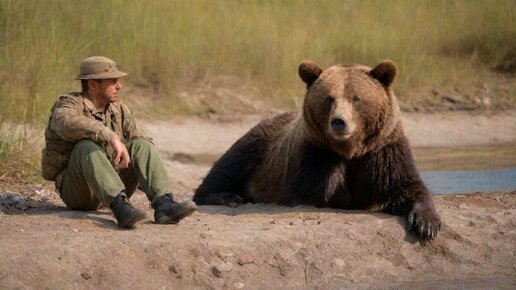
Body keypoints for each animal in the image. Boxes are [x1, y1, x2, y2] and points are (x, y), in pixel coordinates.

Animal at [191, 60, 442, 239]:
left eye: (356, 98)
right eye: (329, 98)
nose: (339, 122)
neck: (352, 150)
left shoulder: (384, 150)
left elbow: (405, 186)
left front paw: (427, 223)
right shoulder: (313, 154)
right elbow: (318, 190)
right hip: (260, 145)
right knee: (230, 164)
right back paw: (227, 196)